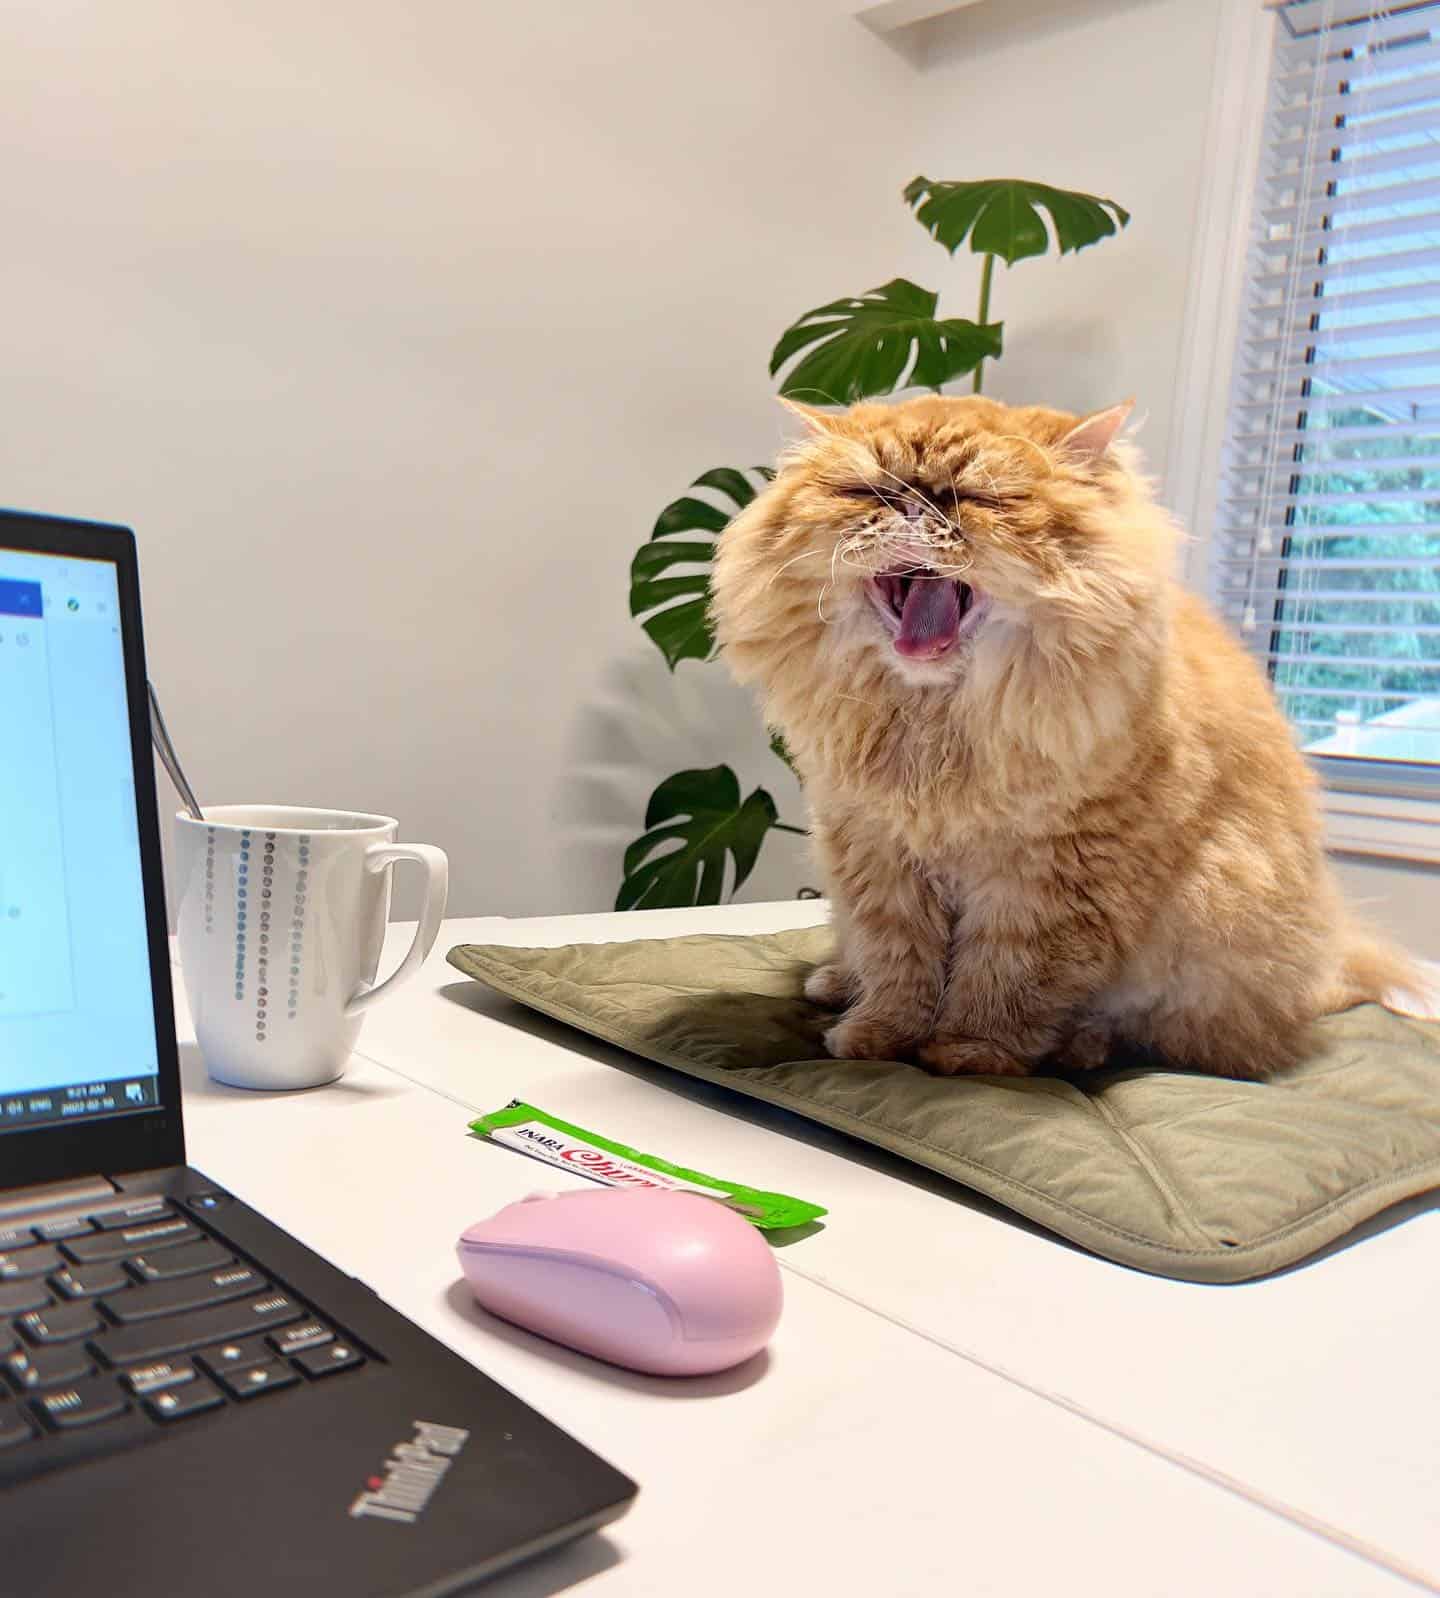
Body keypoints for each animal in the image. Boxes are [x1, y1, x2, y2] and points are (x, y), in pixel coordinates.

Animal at [712, 393, 1412, 1080]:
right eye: (866, 491)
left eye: (980, 498)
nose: (913, 502)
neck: (936, 726)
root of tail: (1321, 969)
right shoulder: (878, 854)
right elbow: (898, 963)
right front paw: (879, 1036)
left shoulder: (1049, 873)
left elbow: (1005, 974)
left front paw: (968, 1052)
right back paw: (835, 982)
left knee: (1149, 1030)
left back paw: (1078, 1045)